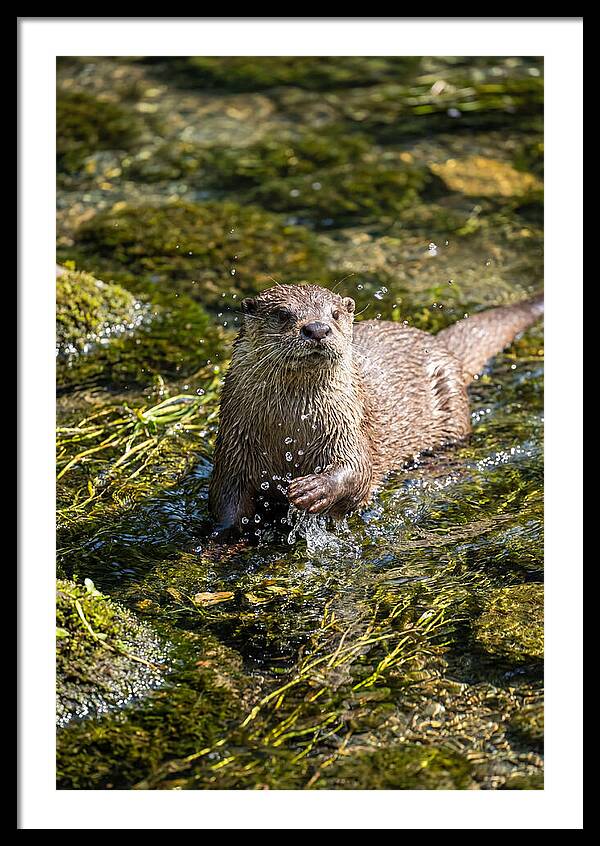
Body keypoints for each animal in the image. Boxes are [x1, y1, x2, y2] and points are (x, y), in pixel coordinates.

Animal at [209, 284, 543, 537]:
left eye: (335, 314)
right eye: (282, 314)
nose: (317, 329)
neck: (291, 430)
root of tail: (439, 345)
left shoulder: (348, 427)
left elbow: (358, 471)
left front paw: (313, 489)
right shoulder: (234, 448)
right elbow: (226, 502)